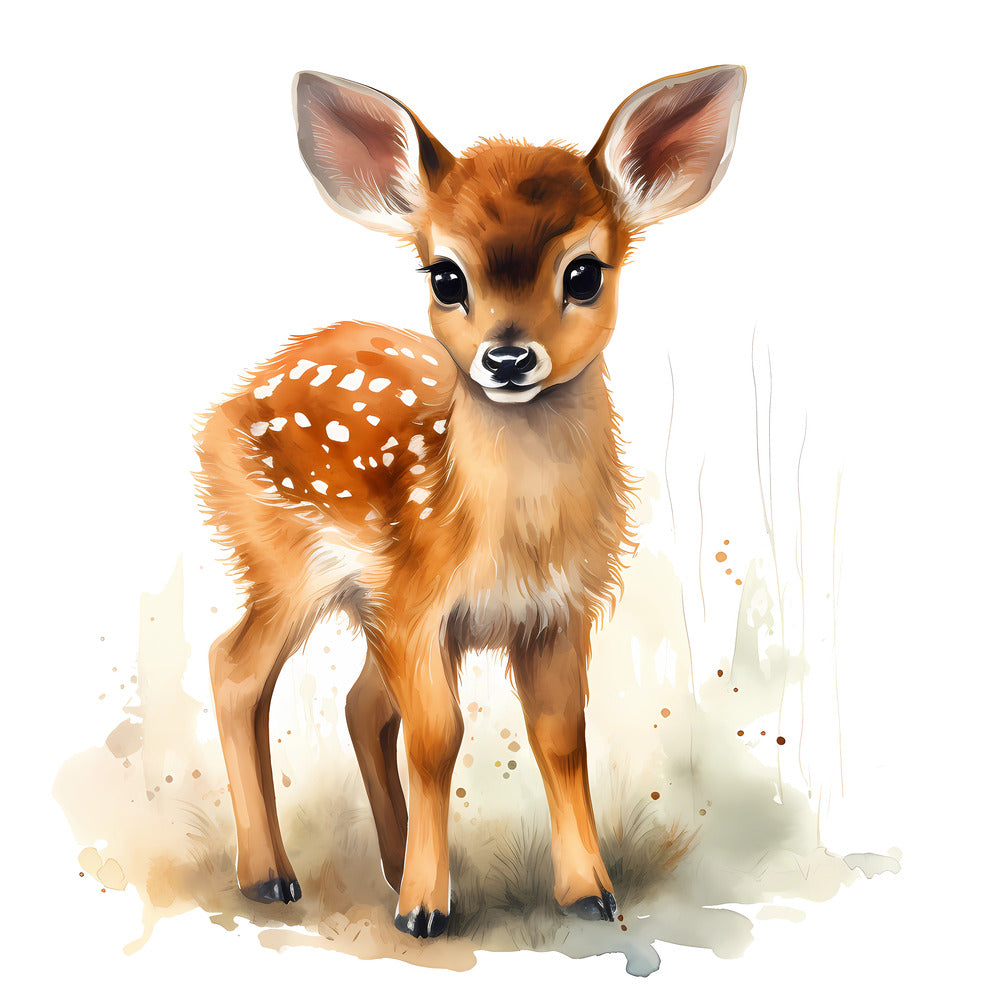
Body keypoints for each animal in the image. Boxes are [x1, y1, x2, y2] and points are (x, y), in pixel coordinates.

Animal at [196, 65, 745, 939]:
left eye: (584, 272)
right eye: (446, 275)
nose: (509, 356)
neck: (508, 535)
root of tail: (225, 409)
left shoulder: (555, 611)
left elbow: (558, 737)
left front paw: (589, 893)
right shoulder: (421, 603)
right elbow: (438, 738)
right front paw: (426, 910)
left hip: (366, 600)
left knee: (358, 703)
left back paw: (387, 867)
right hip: (284, 557)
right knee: (235, 668)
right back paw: (273, 878)